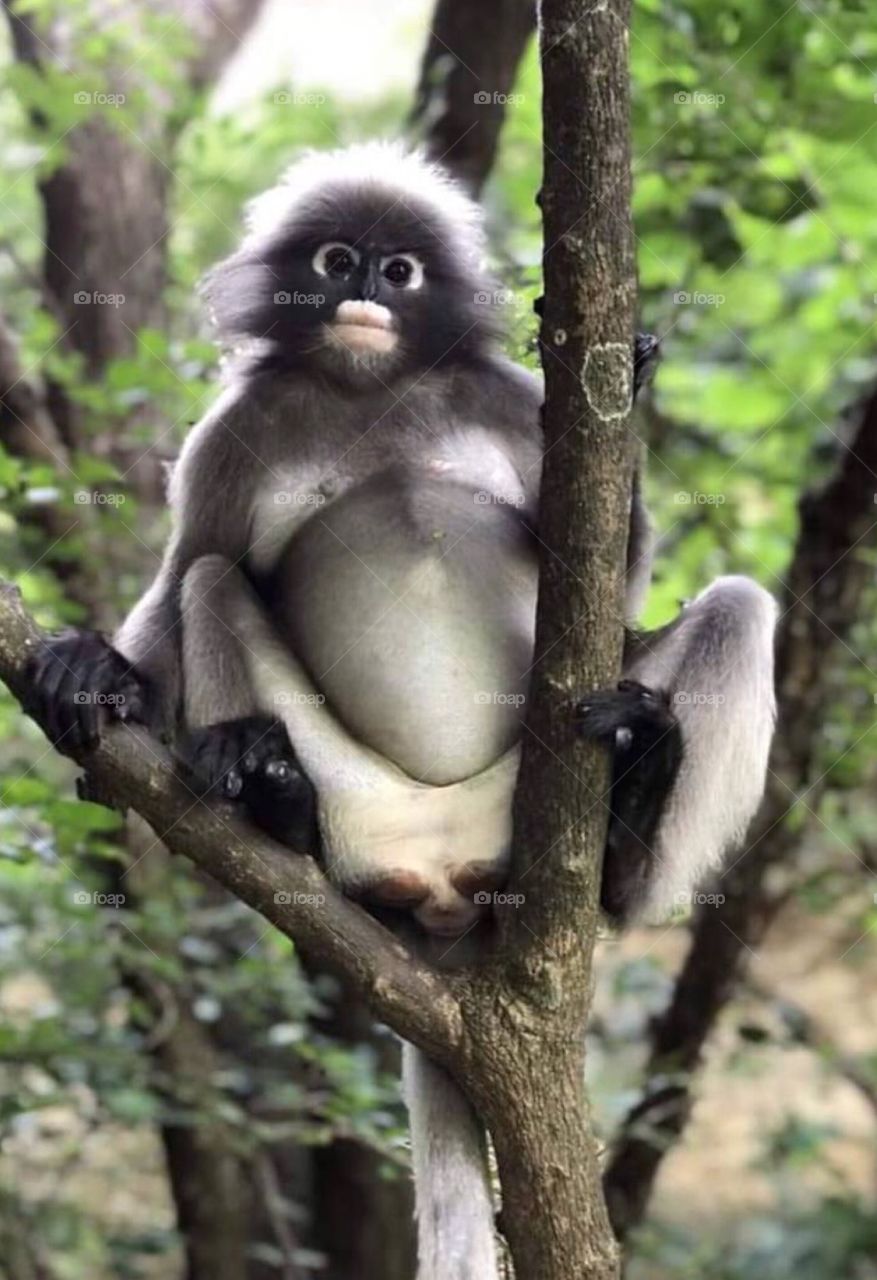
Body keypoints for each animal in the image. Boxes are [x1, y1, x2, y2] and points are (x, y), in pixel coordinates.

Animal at [24, 143, 777, 1280]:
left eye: (401, 270)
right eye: (337, 259)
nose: (367, 294)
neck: (368, 386)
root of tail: (451, 892)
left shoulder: (502, 401)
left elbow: (613, 585)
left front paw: (636, 375)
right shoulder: (237, 429)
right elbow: (183, 566)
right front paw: (95, 670)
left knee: (738, 607)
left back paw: (630, 831)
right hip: (364, 808)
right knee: (210, 580)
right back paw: (273, 797)